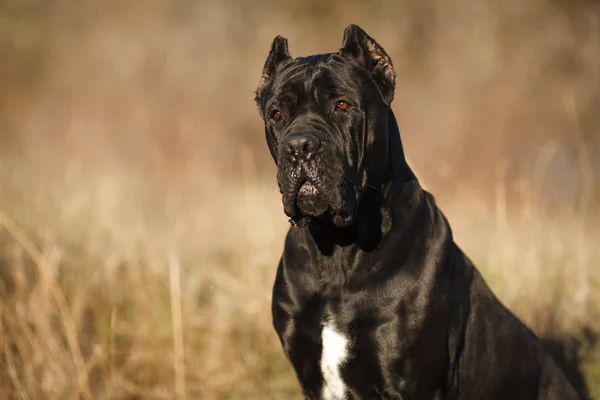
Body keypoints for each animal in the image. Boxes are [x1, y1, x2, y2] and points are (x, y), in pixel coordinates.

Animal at [253, 25, 580, 400]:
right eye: (276, 114)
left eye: (342, 105)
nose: (300, 145)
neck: (338, 255)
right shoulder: (310, 376)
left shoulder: (408, 379)